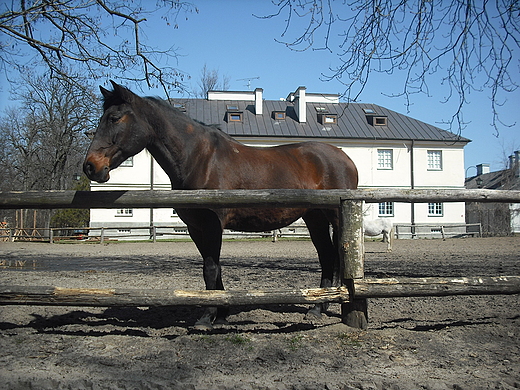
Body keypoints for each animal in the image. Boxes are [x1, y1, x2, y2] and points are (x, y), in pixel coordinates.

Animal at [83, 81, 360, 330]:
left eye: (114, 118)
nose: (90, 166)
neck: (200, 158)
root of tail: (345, 158)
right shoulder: (196, 228)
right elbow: (214, 269)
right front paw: (222, 312)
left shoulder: (212, 224)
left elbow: (210, 268)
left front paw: (206, 317)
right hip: (315, 218)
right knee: (326, 257)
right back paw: (317, 308)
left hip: (335, 217)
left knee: (335, 256)